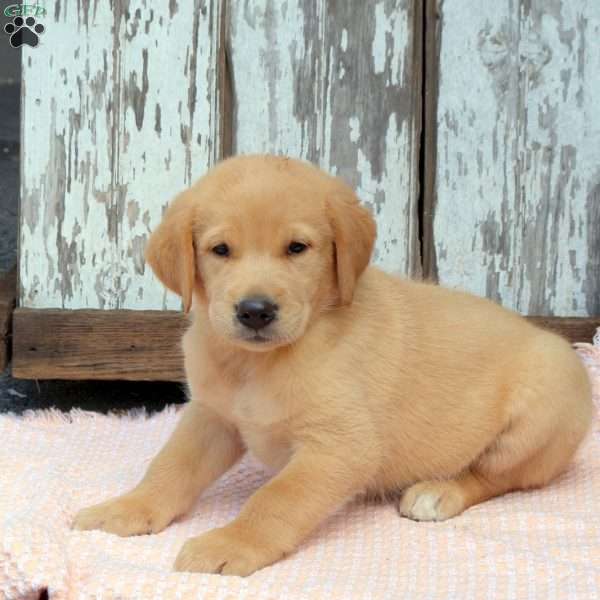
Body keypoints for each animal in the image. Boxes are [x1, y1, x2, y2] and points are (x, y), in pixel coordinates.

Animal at [72, 155, 592, 576]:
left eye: (297, 248)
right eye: (220, 250)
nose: (255, 311)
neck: (260, 363)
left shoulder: (340, 447)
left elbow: (275, 498)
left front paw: (231, 543)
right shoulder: (212, 417)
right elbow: (171, 466)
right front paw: (128, 507)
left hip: (540, 410)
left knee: (496, 477)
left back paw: (437, 493)